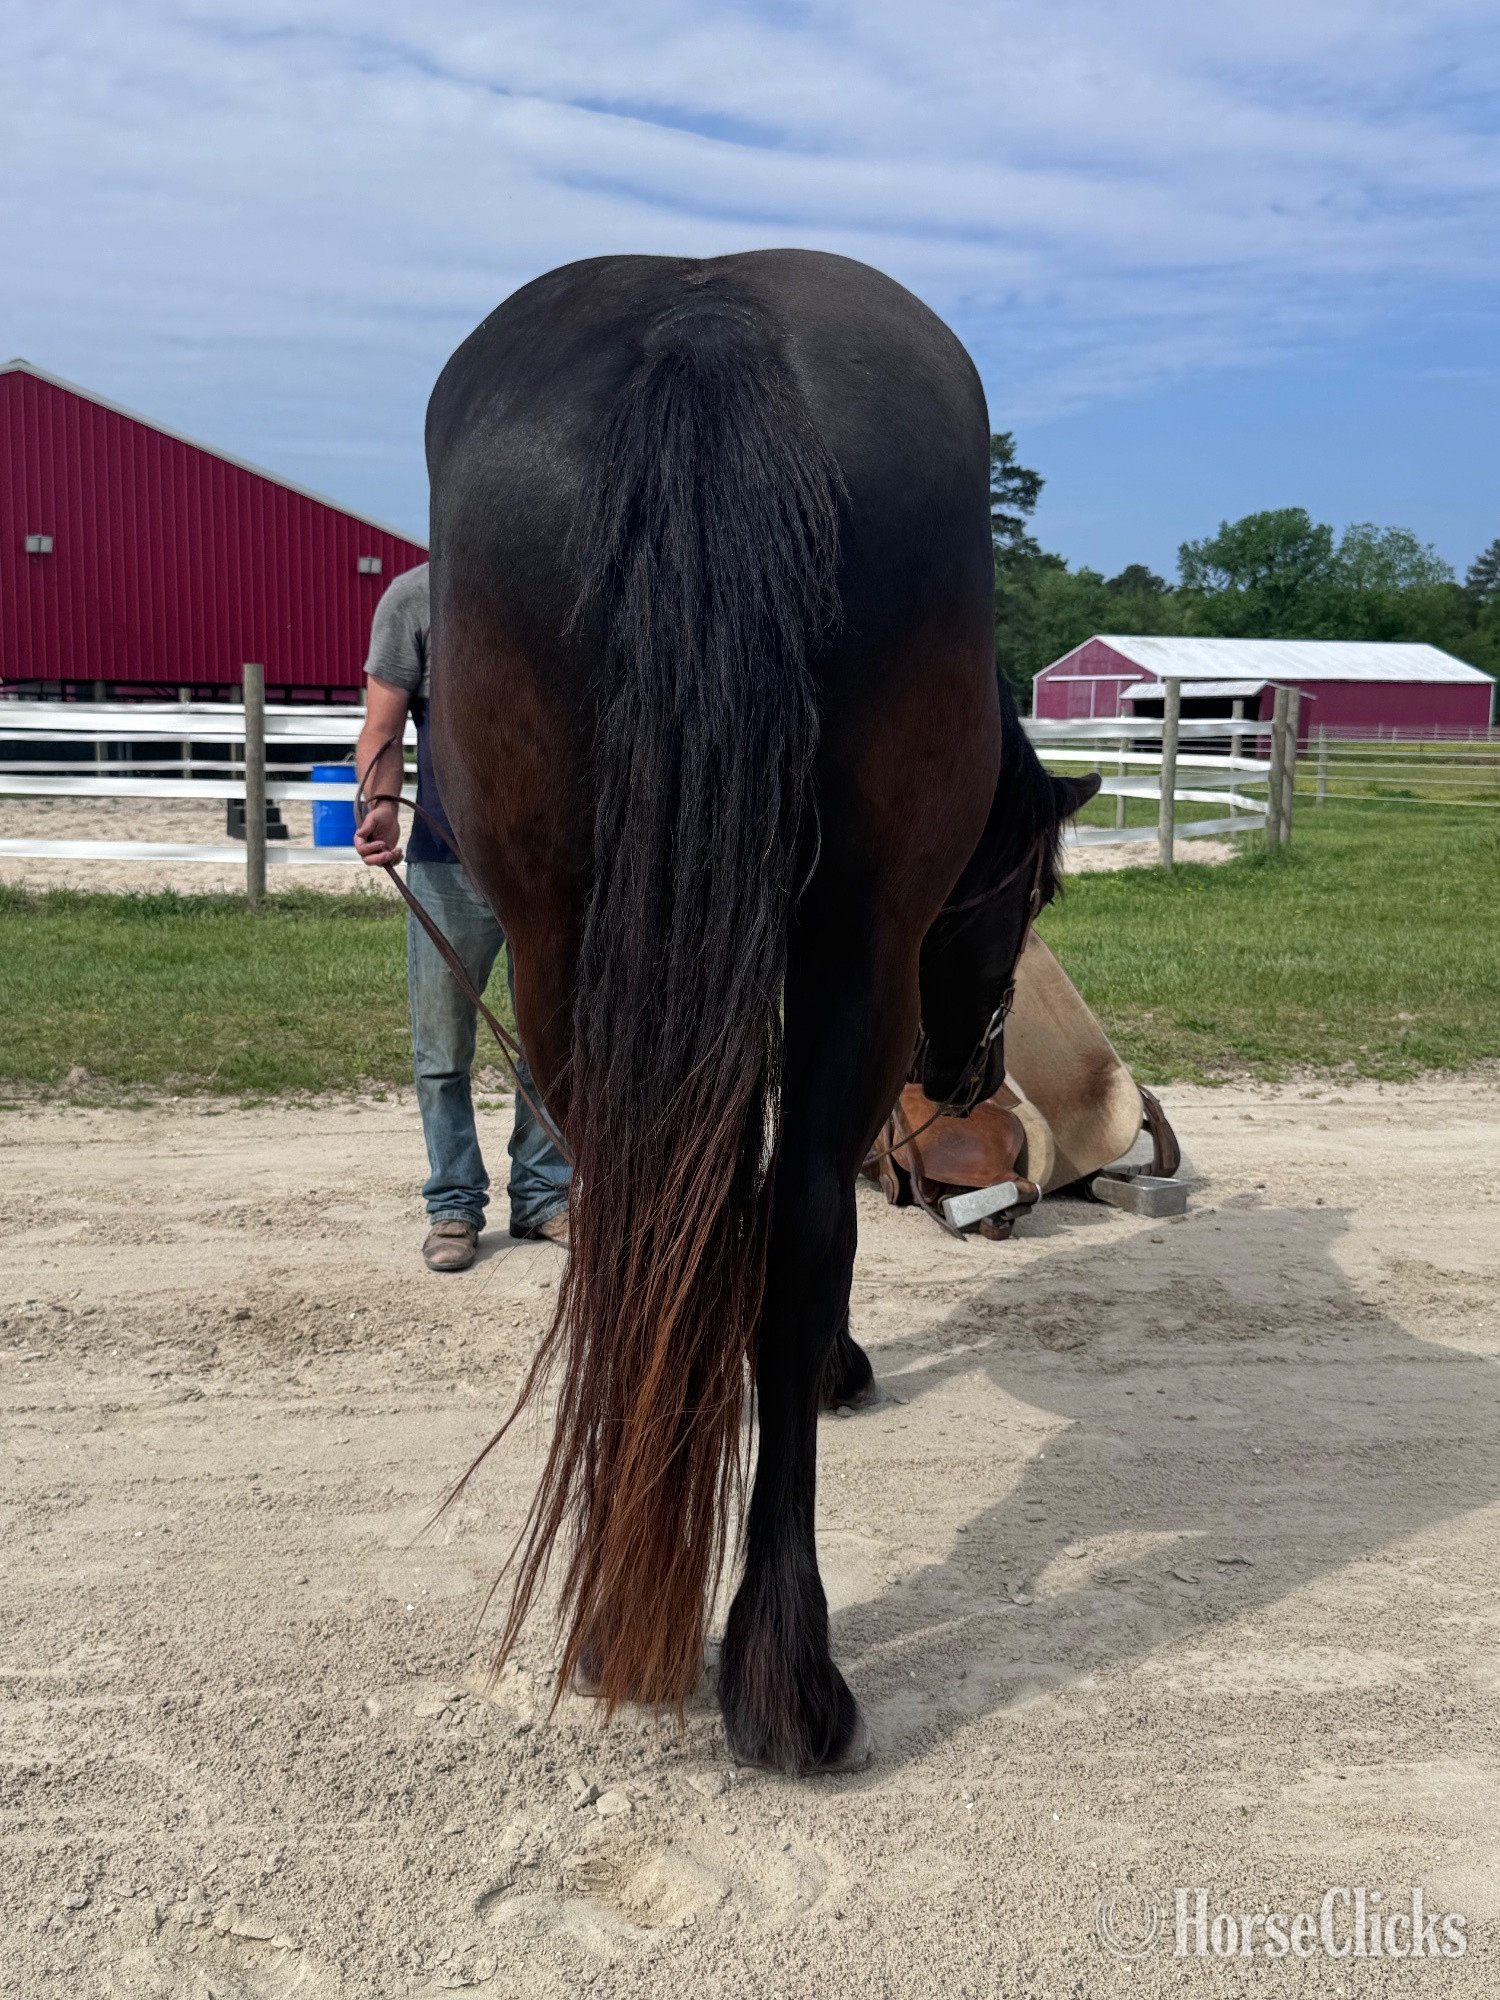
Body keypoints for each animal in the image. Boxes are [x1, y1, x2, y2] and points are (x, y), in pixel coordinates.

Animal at [425, 248, 1098, 1775]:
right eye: (1033, 889)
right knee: (794, 1227)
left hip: (564, 952)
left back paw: (632, 1616)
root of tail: (706, 315)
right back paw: (782, 1663)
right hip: (858, 947)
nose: (963, 1080)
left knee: (649, 1216)